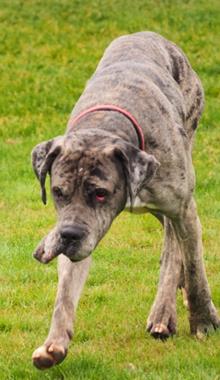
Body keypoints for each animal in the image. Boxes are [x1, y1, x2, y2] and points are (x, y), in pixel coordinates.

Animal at [30, 31, 218, 370]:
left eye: (100, 193)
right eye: (58, 192)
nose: (69, 236)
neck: (107, 122)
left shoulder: (182, 206)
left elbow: (194, 266)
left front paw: (203, 321)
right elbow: (65, 292)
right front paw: (54, 344)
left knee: (173, 248)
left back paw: (163, 313)